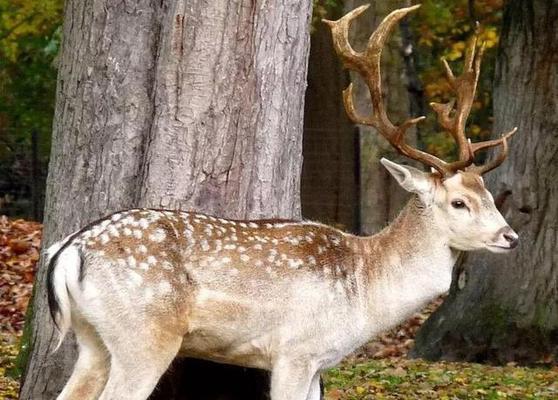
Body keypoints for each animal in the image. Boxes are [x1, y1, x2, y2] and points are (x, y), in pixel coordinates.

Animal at [47, 3, 520, 400]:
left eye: (489, 195)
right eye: (459, 203)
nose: (510, 237)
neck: (366, 291)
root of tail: (68, 250)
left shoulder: (317, 362)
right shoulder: (296, 351)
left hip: (92, 338)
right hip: (145, 334)